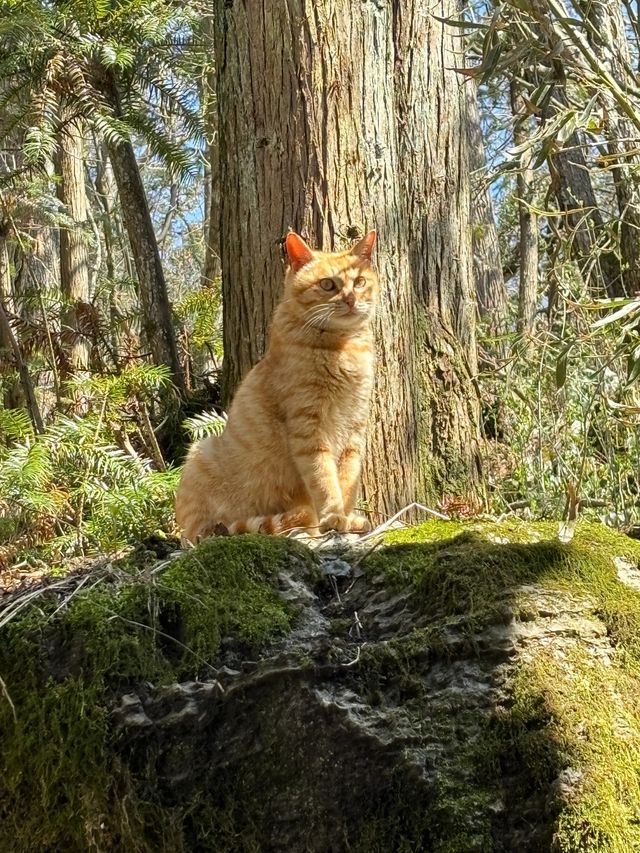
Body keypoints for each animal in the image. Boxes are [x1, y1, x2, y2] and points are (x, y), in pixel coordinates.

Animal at [175, 230, 378, 544]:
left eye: (359, 282)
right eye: (328, 284)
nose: (350, 299)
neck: (344, 347)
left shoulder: (354, 430)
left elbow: (347, 482)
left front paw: (347, 518)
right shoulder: (309, 428)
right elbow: (324, 479)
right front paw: (334, 517)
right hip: (201, 452)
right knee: (205, 530)